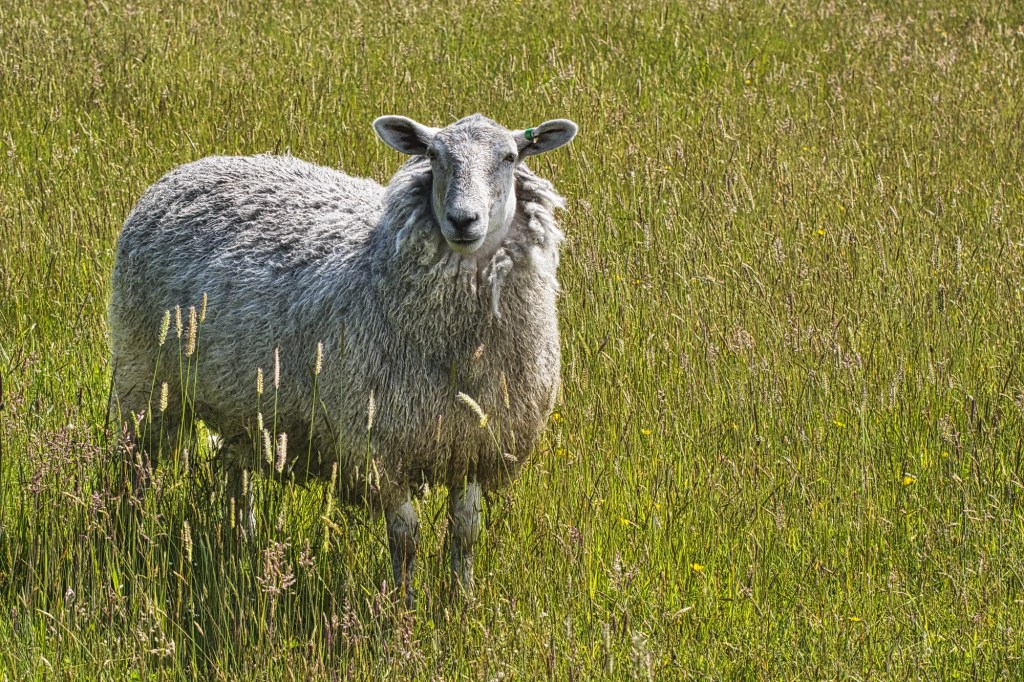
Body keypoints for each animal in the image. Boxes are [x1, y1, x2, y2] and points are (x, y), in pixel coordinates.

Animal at [108, 113, 577, 604]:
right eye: (433, 155)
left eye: (509, 157)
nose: (462, 220)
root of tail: (188, 169)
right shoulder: (378, 447)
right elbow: (406, 538)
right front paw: (403, 609)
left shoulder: (473, 442)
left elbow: (465, 531)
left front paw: (460, 602)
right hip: (143, 378)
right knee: (133, 466)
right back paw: (128, 538)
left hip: (244, 407)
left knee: (237, 474)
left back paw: (245, 541)